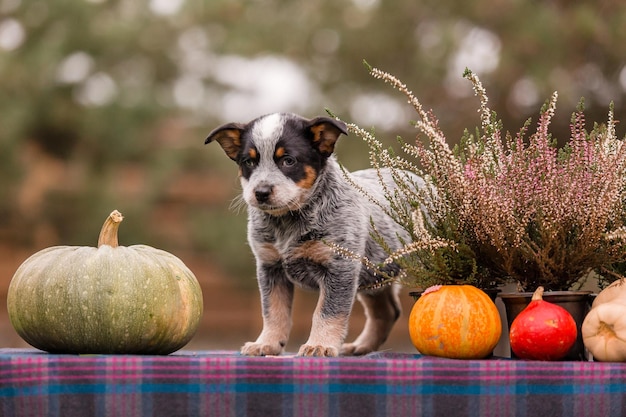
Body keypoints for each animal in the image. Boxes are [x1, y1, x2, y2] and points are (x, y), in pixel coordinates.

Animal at [205, 112, 410, 356]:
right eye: (249, 162)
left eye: (288, 160)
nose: (261, 192)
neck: (288, 222)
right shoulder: (270, 267)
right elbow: (273, 311)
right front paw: (267, 343)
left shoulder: (340, 267)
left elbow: (327, 312)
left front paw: (319, 345)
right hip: (376, 276)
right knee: (386, 311)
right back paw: (360, 347)